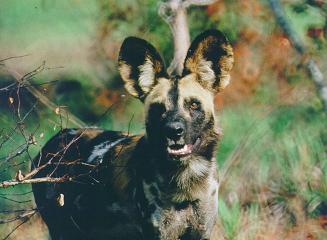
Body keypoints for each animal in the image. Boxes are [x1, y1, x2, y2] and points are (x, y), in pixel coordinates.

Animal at [32, 29, 234, 239]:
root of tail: (53, 142)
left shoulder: (200, 232)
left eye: (194, 105)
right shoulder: (159, 234)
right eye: (158, 109)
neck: (186, 181)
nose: (174, 130)